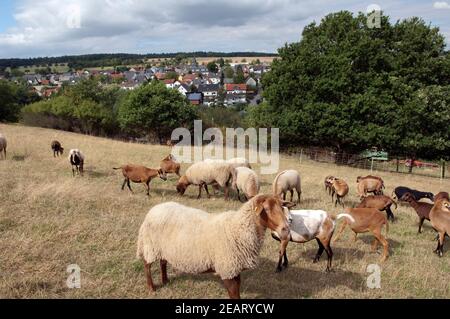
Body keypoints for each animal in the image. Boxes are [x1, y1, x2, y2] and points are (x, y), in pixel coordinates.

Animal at [136, 195, 292, 300]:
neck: (238, 228)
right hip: (150, 245)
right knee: (147, 265)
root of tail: (155, 208)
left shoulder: (234, 268)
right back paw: (151, 287)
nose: (286, 229)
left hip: (163, 248)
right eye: (266, 209)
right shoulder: (228, 268)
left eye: (282, 207)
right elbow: (234, 295)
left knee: (162, 262)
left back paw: (165, 280)